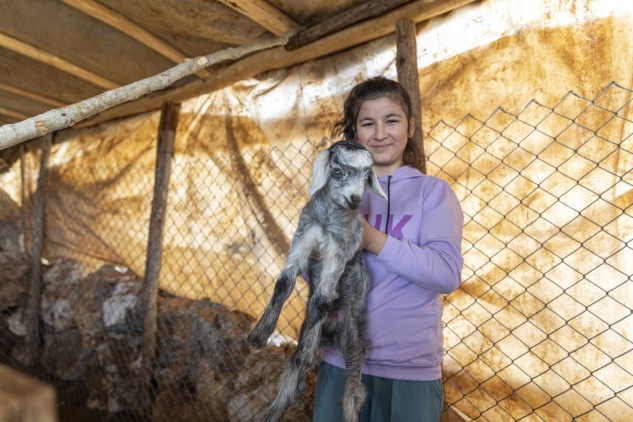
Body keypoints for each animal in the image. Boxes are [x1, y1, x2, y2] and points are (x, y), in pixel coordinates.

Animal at [246, 140, 386, 420]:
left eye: (367, 175)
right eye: (337, 170)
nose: (355, 200)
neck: (329, 217)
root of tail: (331, 333)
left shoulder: (339, 251)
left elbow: (320, 299)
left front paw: (306, 350)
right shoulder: (304, 237)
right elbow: (283, 283)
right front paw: (259, 335)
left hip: (354, 338)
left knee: (353, 390)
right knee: (292, 376)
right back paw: (272, 411)